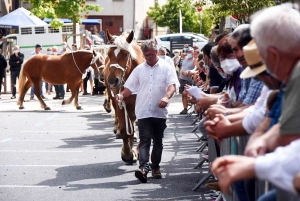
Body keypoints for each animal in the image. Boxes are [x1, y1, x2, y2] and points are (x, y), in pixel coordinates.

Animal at [103, 29, 145, 164]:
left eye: (126, 54)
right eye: (109, 54)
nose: (112, 80)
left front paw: (137, 151)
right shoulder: (120, 102)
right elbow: (124, 129)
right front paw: (127, 153)